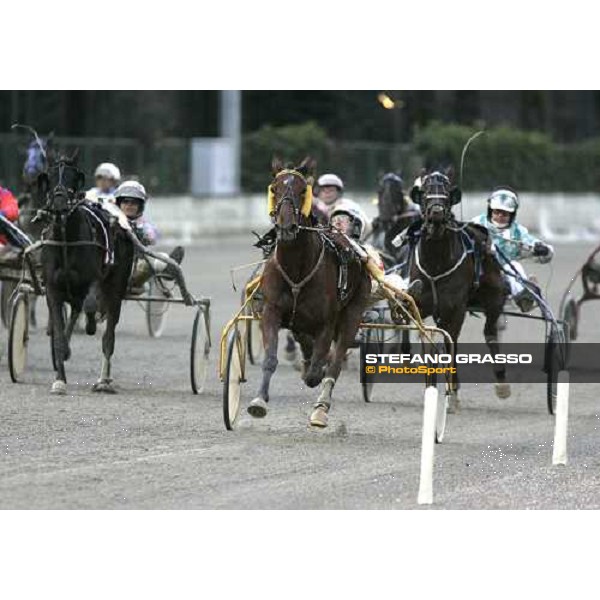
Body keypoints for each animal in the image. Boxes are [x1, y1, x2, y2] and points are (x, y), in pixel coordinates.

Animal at [38, 152, 135, 394]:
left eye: (74, 175)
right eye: (49, 175)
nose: (60, 202)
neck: (66, 240)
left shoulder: (93, 280)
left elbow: (91, 305)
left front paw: (91, 324)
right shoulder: (53, 289)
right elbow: (58, 335)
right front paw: (59, 379)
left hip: (116, 285)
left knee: (108, 334)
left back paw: (103, 380)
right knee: (75, 309)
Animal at [247, 157, 370, 424]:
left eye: (303, 190)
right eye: (274, 188)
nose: (286, 226)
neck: (296, 270)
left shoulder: (327, 322)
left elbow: (318, 371)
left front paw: (317, 379)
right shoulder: (271, 311)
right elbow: (270, 358)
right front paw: (259, 400)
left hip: (354, 311)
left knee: (334, 360)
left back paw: (321, 407)